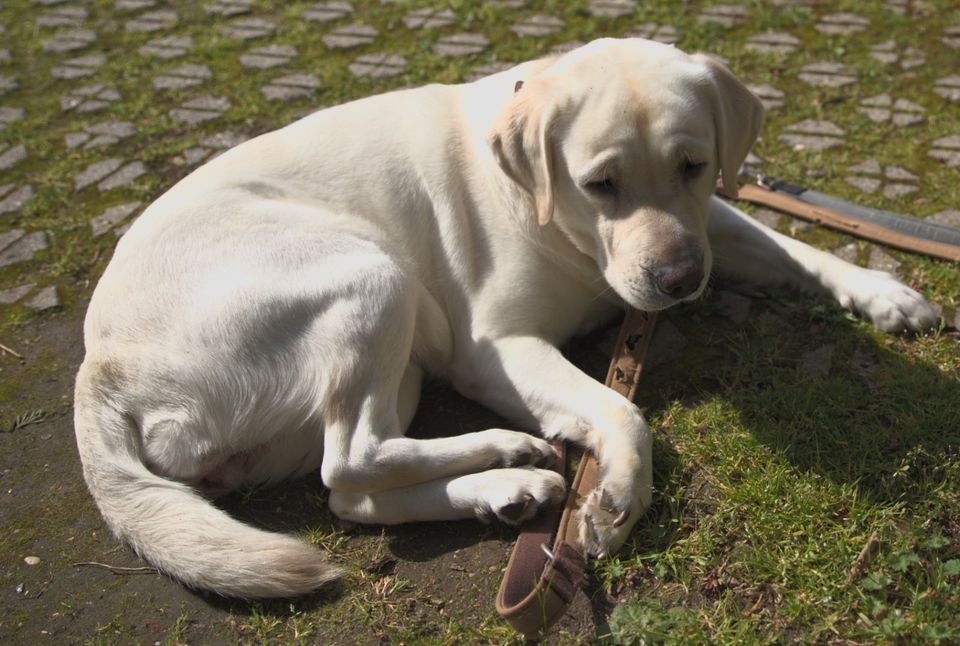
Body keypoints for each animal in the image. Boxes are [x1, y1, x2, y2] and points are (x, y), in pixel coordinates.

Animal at [73, 38, 936, 600]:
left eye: (692, 165)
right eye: (600, 184)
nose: (678, 281)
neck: (560, 222)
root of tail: (100, 365)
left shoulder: (708, 224)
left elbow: (791, 245)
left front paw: (882, 292)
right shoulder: (498, 348)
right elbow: (622, 409)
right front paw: (618, 497)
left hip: (393, 362)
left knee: (349, 494)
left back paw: (503, 488)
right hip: (372, 277)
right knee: (351, 459)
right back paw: (509, 452)